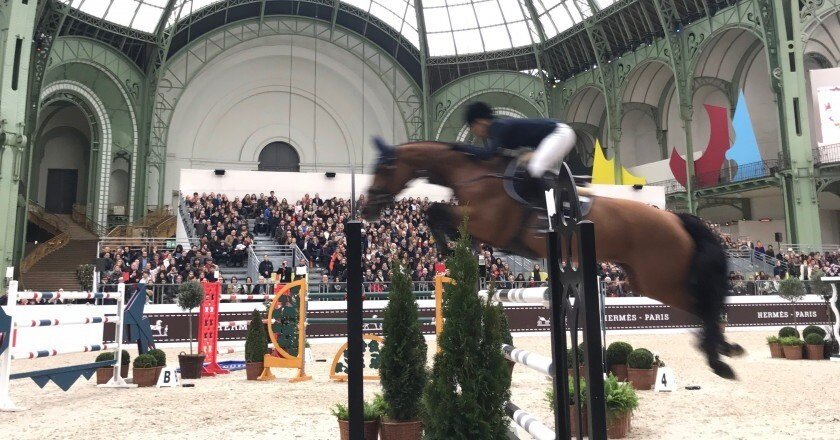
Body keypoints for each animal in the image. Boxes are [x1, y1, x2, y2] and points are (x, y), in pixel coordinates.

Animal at [361, 138, 745, 380]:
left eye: (384, 168)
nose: (366, 210)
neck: (473, 175)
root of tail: (676, 218)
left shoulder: (488, 222)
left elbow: (435, 212)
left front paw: (447, 248)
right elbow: (435, 214)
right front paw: (454, 251)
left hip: (661, 277)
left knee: (706, 304)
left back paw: (720, 359)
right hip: (649, 280)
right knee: (705, 305)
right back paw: (725, 349)